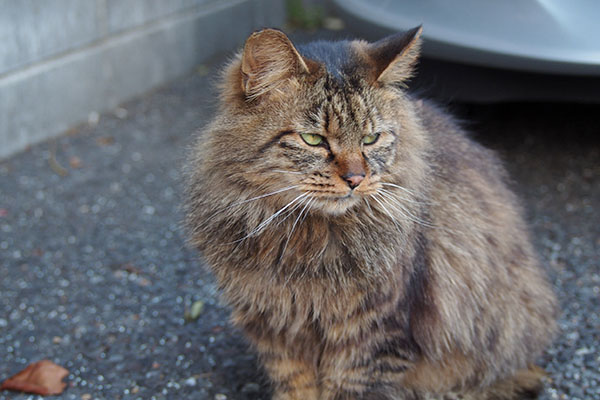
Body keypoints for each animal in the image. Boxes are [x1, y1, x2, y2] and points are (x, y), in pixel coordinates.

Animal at [185, 26, 560, 398]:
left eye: (371, 139)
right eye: (313, 139)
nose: (355, 179)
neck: (303, 242)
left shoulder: (372, 339)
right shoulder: (276, 331)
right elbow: (295, 387)